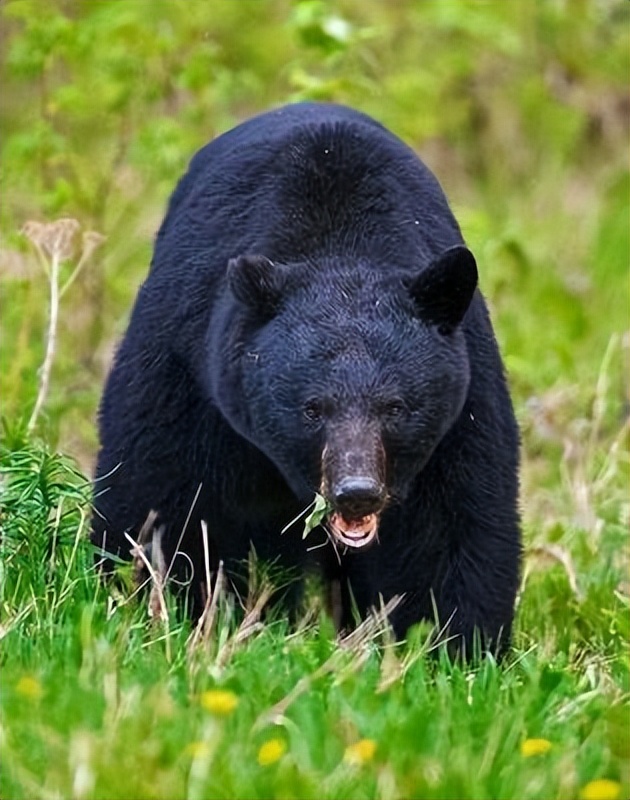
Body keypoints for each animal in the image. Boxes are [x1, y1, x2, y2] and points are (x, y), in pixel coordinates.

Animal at [91, 103, 520, 656]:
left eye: (396, 407)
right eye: (312, 408)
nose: (356, 491)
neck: (340, 243)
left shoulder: (461, 411)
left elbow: (448, 533)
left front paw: (452, 648)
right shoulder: (189, 372)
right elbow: (161, 497)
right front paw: (161, 608)